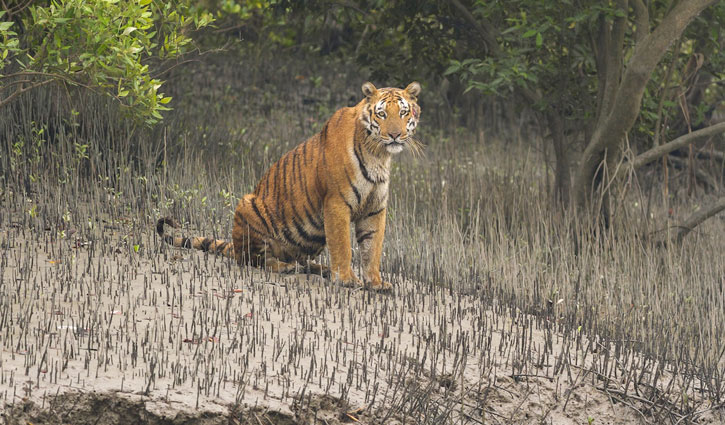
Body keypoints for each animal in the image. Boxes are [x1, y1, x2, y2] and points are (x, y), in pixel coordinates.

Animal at [156, 81, 422, 290]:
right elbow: (343, 245)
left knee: (300, 260)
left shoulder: (374, 209)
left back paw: (321, 269)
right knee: (252, 259)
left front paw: (375, 283)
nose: (395, 135)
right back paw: (284, 266)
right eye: (382, 114)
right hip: (248, 205)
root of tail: (234, 244)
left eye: (403, 113)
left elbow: (372, 248)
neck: (379, 155)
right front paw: (346, 279)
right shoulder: (337, 203)